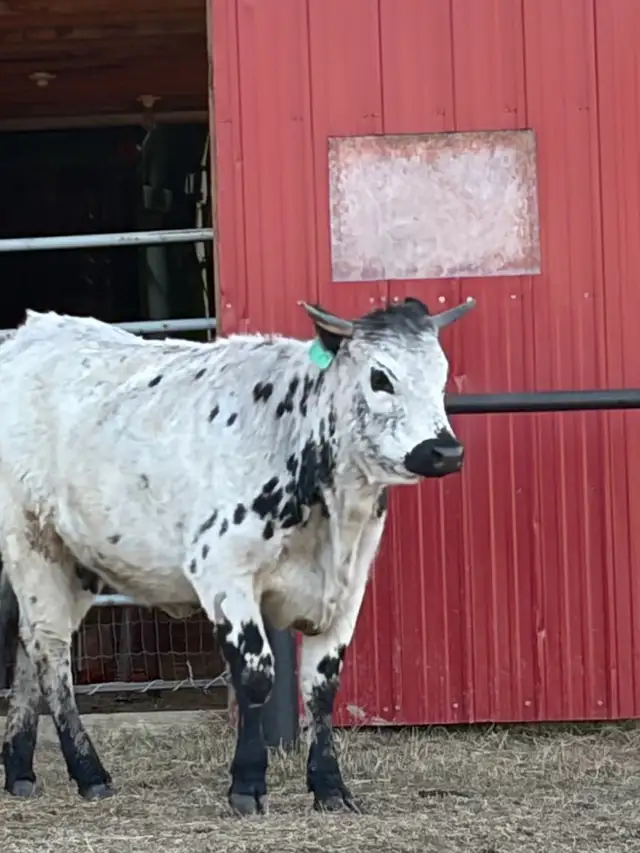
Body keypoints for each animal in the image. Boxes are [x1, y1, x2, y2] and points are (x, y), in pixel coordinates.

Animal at [0, 295, 475, 815]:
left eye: (442, 374)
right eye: (380, 377)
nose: (444, 451)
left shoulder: (349, 587)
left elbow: (322, 684)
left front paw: (330, 786)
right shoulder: (223, 572)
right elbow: (256, 674)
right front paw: (247, 784)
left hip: (73, 558)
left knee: (29, 643)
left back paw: (20, 770)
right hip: (30, 540)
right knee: (51, 651)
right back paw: (89, 772)